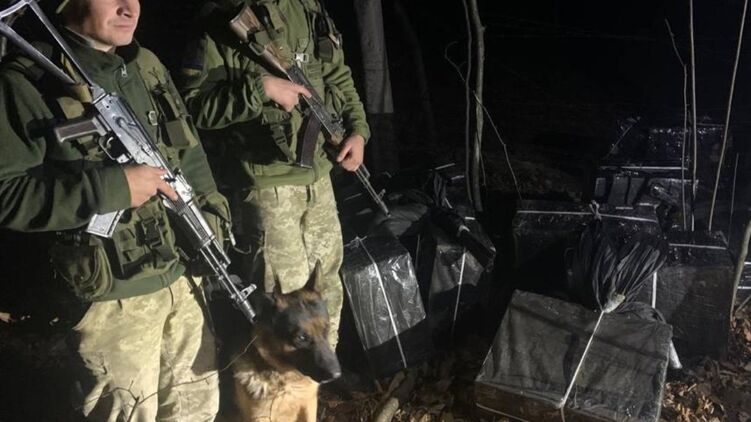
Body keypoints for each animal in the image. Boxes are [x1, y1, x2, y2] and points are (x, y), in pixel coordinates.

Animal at [221, 267, 341, 422]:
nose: (336, 375)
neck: (288, 381)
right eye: (301, 337)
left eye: (326, 328)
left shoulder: (308, 405)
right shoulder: (260, 417)